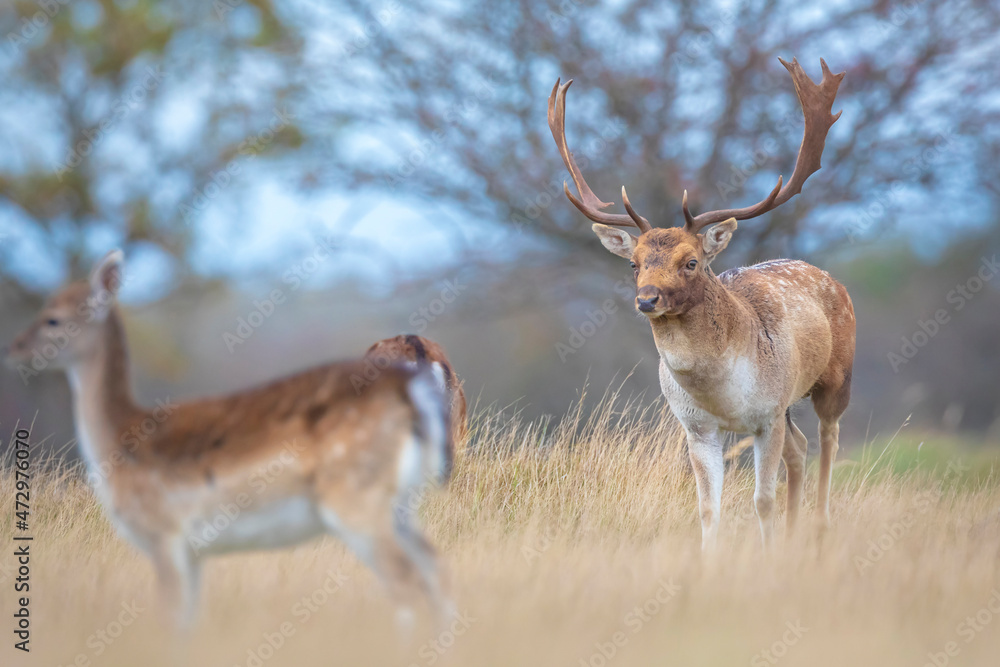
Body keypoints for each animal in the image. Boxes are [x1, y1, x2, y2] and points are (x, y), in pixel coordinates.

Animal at [3, 250, 455, 628]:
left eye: (53, 317)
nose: (13, 347)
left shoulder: (165, 536)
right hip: (398, 504)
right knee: (433, 569)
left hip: (357, 500)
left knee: (409, 583)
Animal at [548, 57, 855, 551]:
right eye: (634, 263)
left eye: (690, 262)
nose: (647, 299)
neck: (725, 394)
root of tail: (830, 278)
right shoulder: (696, 426)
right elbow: (708, 509)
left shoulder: (766, 415)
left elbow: (761, 501)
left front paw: (768, 558)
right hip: (790, 404)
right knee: (800, 448)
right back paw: (794, 535)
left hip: (835, 377)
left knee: (829, 438)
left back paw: (820, 530)